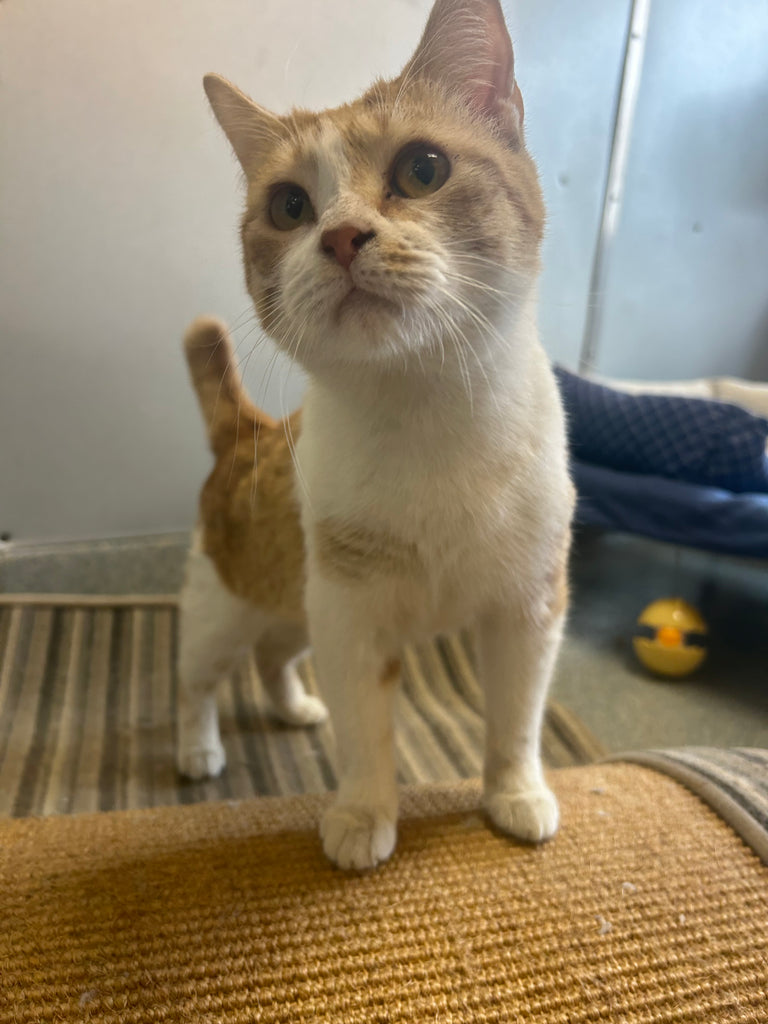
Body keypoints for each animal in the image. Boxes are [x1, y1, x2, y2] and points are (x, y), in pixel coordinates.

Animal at [177, 0, 575, 870]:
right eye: (290, 207)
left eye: (423, 169)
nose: (341, 235)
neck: (430, 414)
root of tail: (248, 428)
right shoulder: (353, 615)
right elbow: (368, 735)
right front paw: (363, 815)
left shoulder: (527, 609)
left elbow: (516, 719)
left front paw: (515, 794)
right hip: (226, 612)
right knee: (198, 680)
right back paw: (198, 749)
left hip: (294, 608)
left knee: (274, 657)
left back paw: (294, 707)